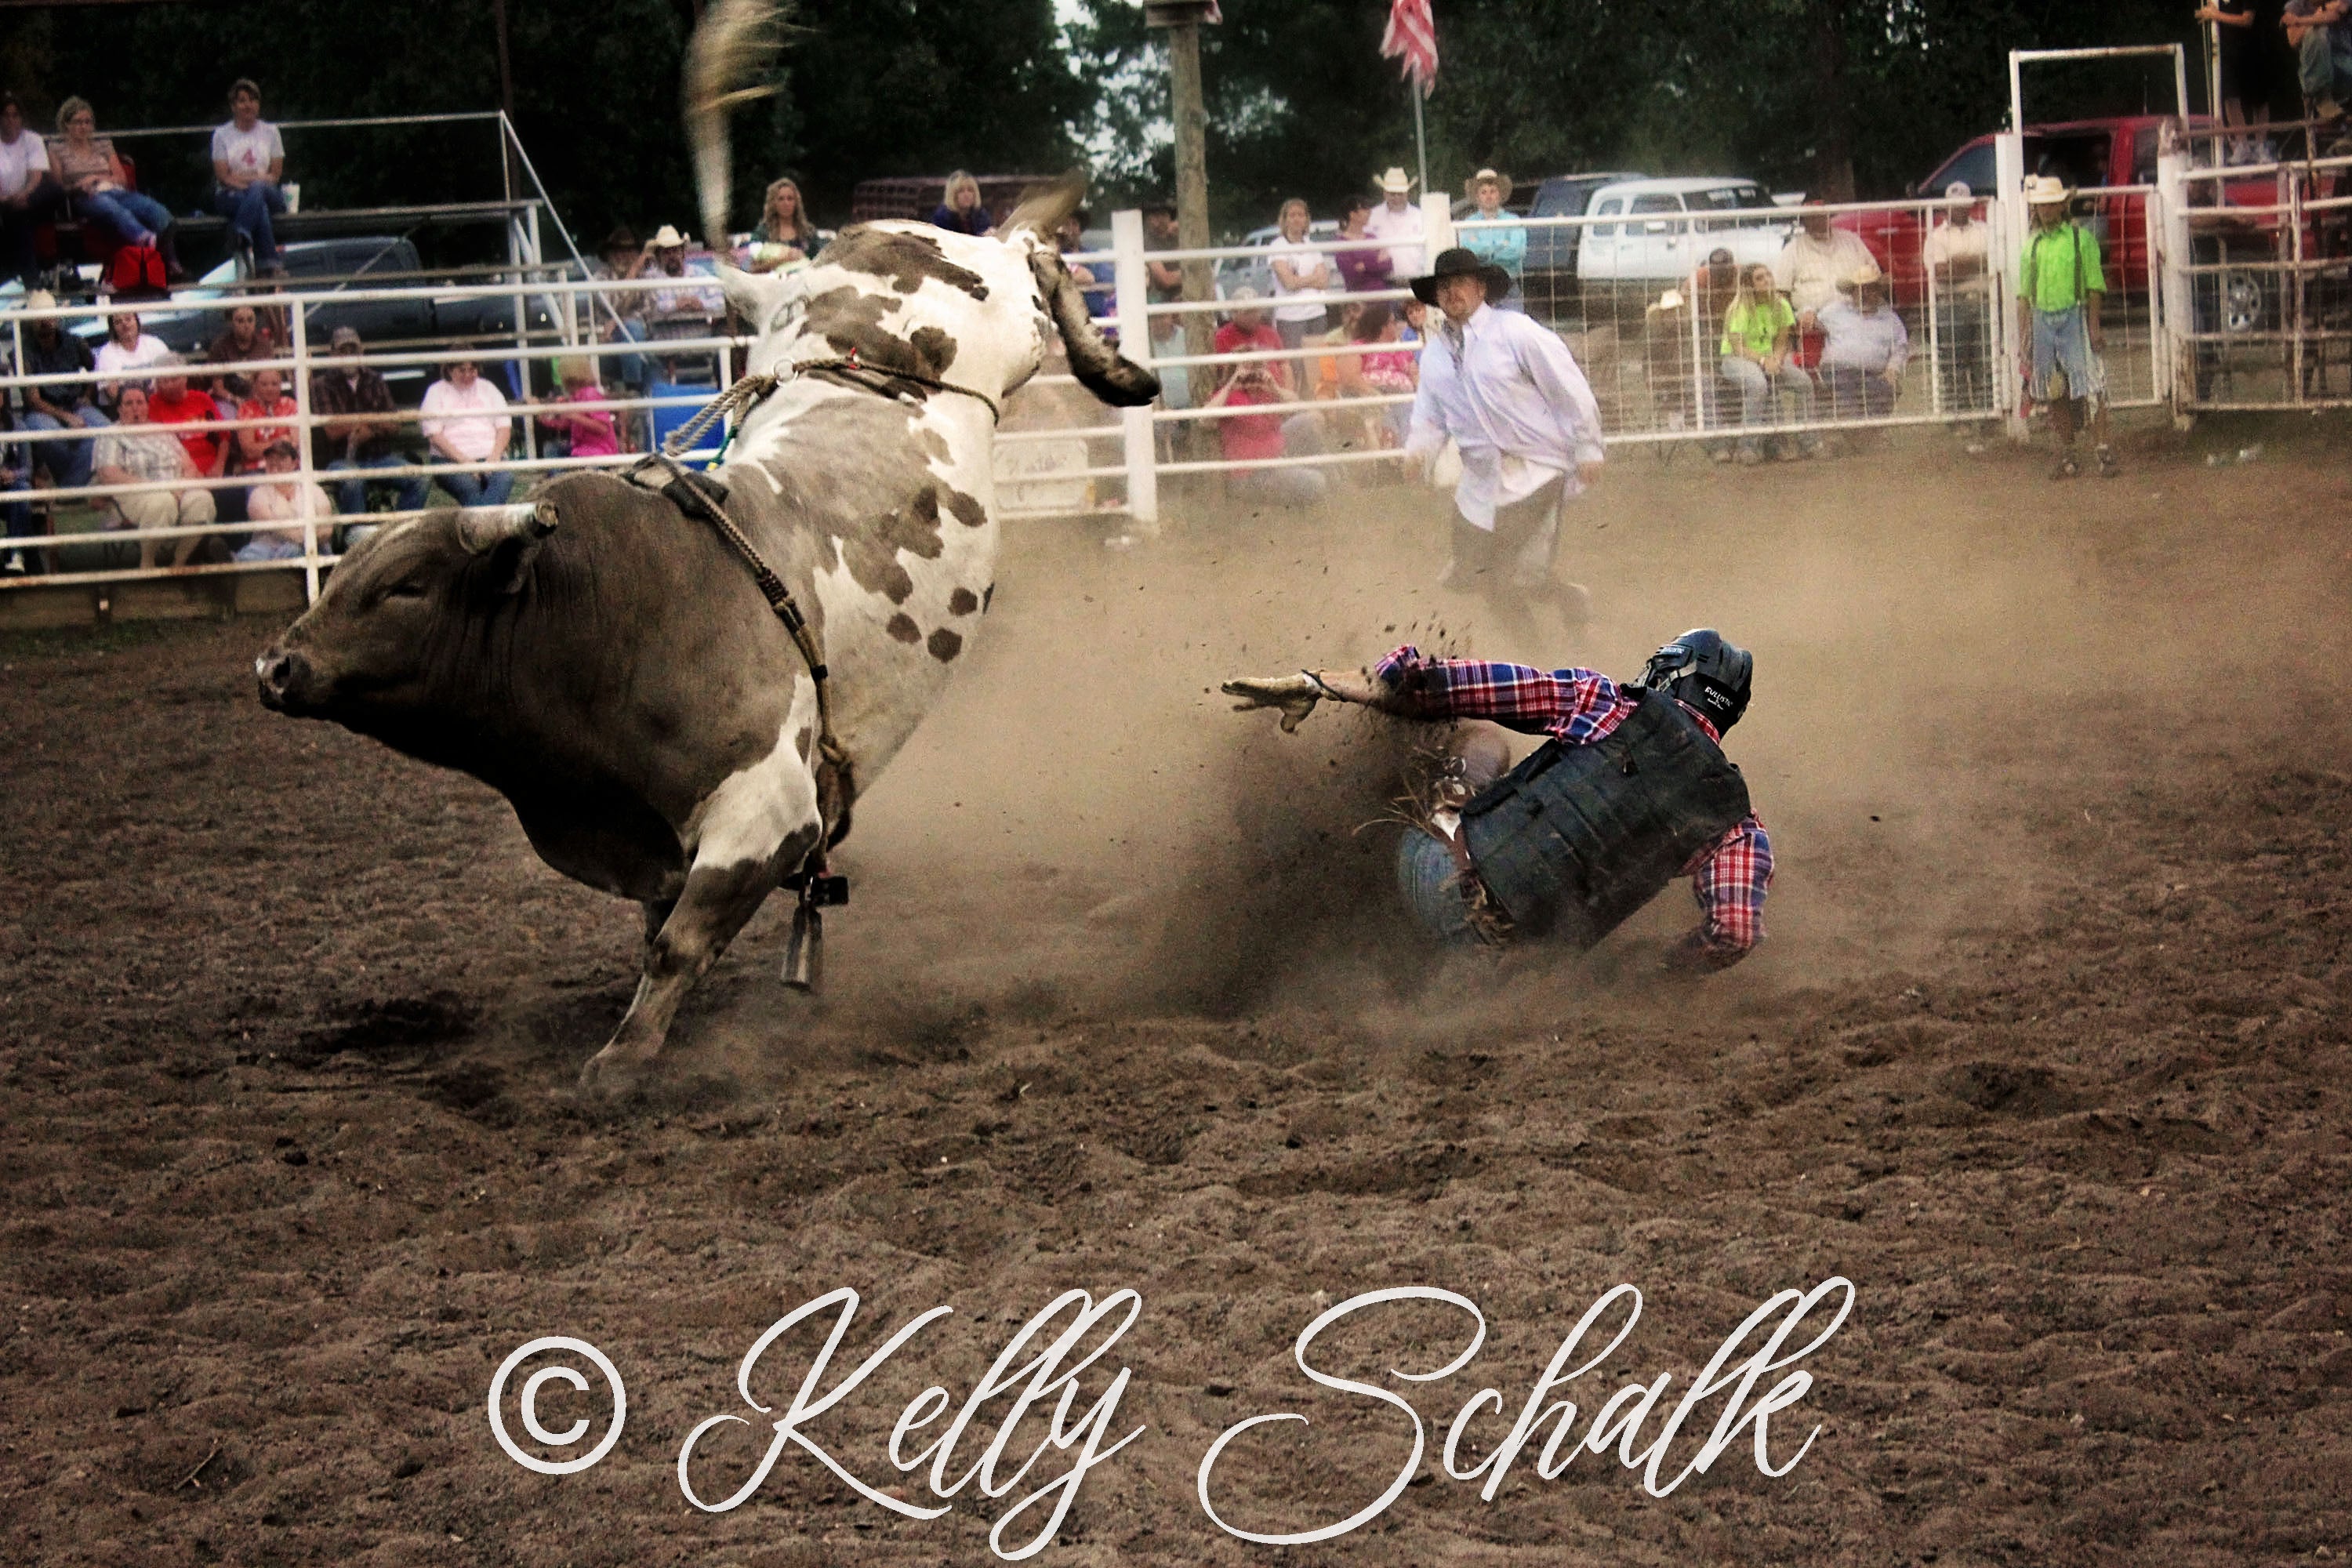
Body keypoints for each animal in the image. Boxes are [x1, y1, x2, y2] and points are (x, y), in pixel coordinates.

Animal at [255, 0, 1157, 1100]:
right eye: (343, 575)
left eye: (406, 587)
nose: (276, 666)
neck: (594, 616)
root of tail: (830, 259)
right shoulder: (648, 834)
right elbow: (661, 931)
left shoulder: (766, 813)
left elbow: (680, 940)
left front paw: (620, 1063)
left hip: (997, 308)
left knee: (1033, 251)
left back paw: (1115, 363)